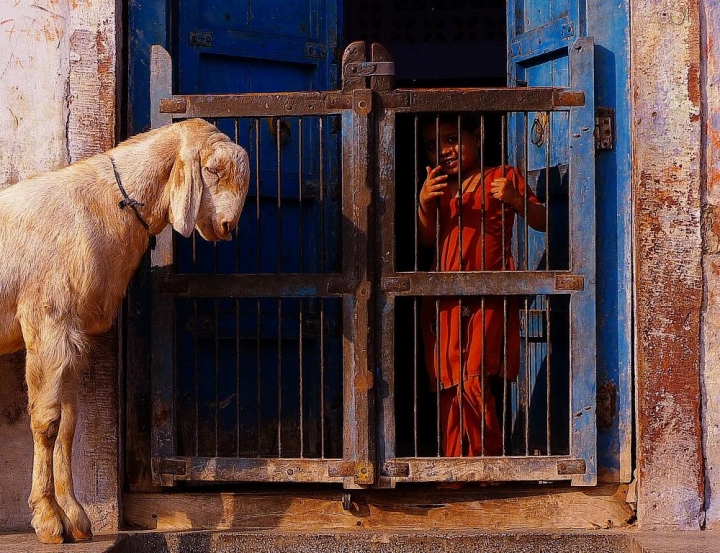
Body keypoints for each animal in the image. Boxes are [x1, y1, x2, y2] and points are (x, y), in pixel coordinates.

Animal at [0, 117, 250, 544]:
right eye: (212, 170)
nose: (228, 226)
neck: (103, 204)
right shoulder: (47, 321)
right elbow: (47, 422)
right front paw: (48, 520)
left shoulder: (73, 335)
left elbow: (69, 424)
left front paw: (76, 519)